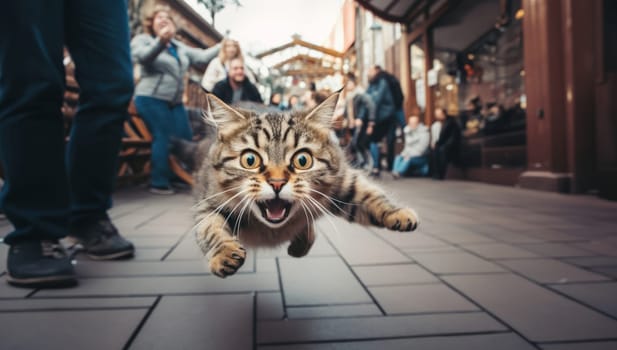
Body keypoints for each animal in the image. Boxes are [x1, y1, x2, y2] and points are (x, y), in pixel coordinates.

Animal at [192, 93, 418, 278]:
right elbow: (210, 229)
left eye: (302, 160)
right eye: (250, 160)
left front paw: (397, 213)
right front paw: (224, 254)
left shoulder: (344, 181)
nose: (277, 183)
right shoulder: (206, 202)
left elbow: (372, 195)